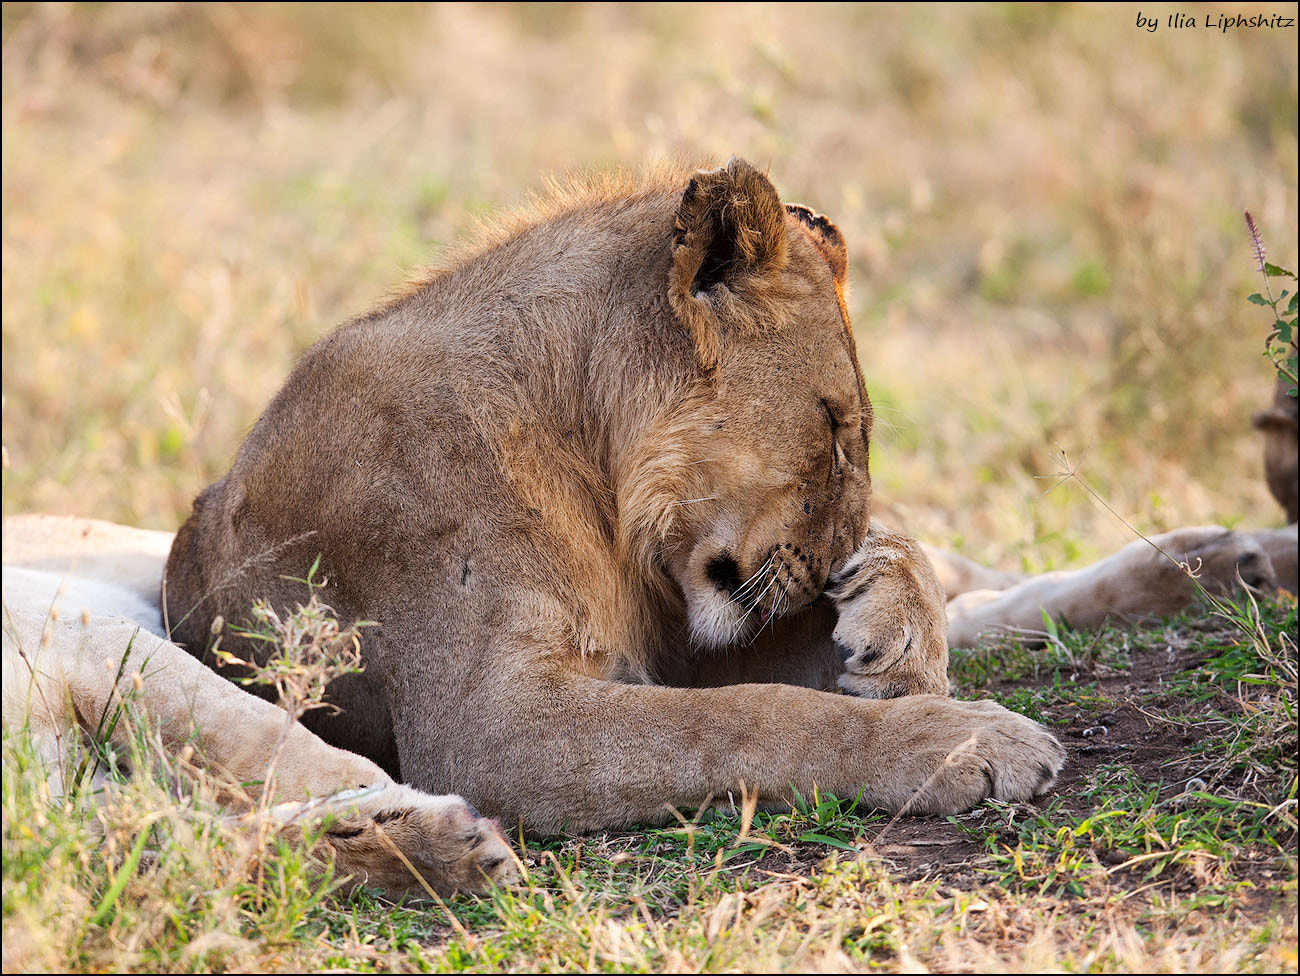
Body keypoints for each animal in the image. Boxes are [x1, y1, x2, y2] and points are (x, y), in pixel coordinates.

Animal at [157, 160, 1060, 831]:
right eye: (836, 428)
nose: (833, 565)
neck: (582, 446)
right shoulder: (490, 729)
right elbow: (752, 717)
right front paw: (965, 741)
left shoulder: (683, 634)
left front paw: (894, 634)